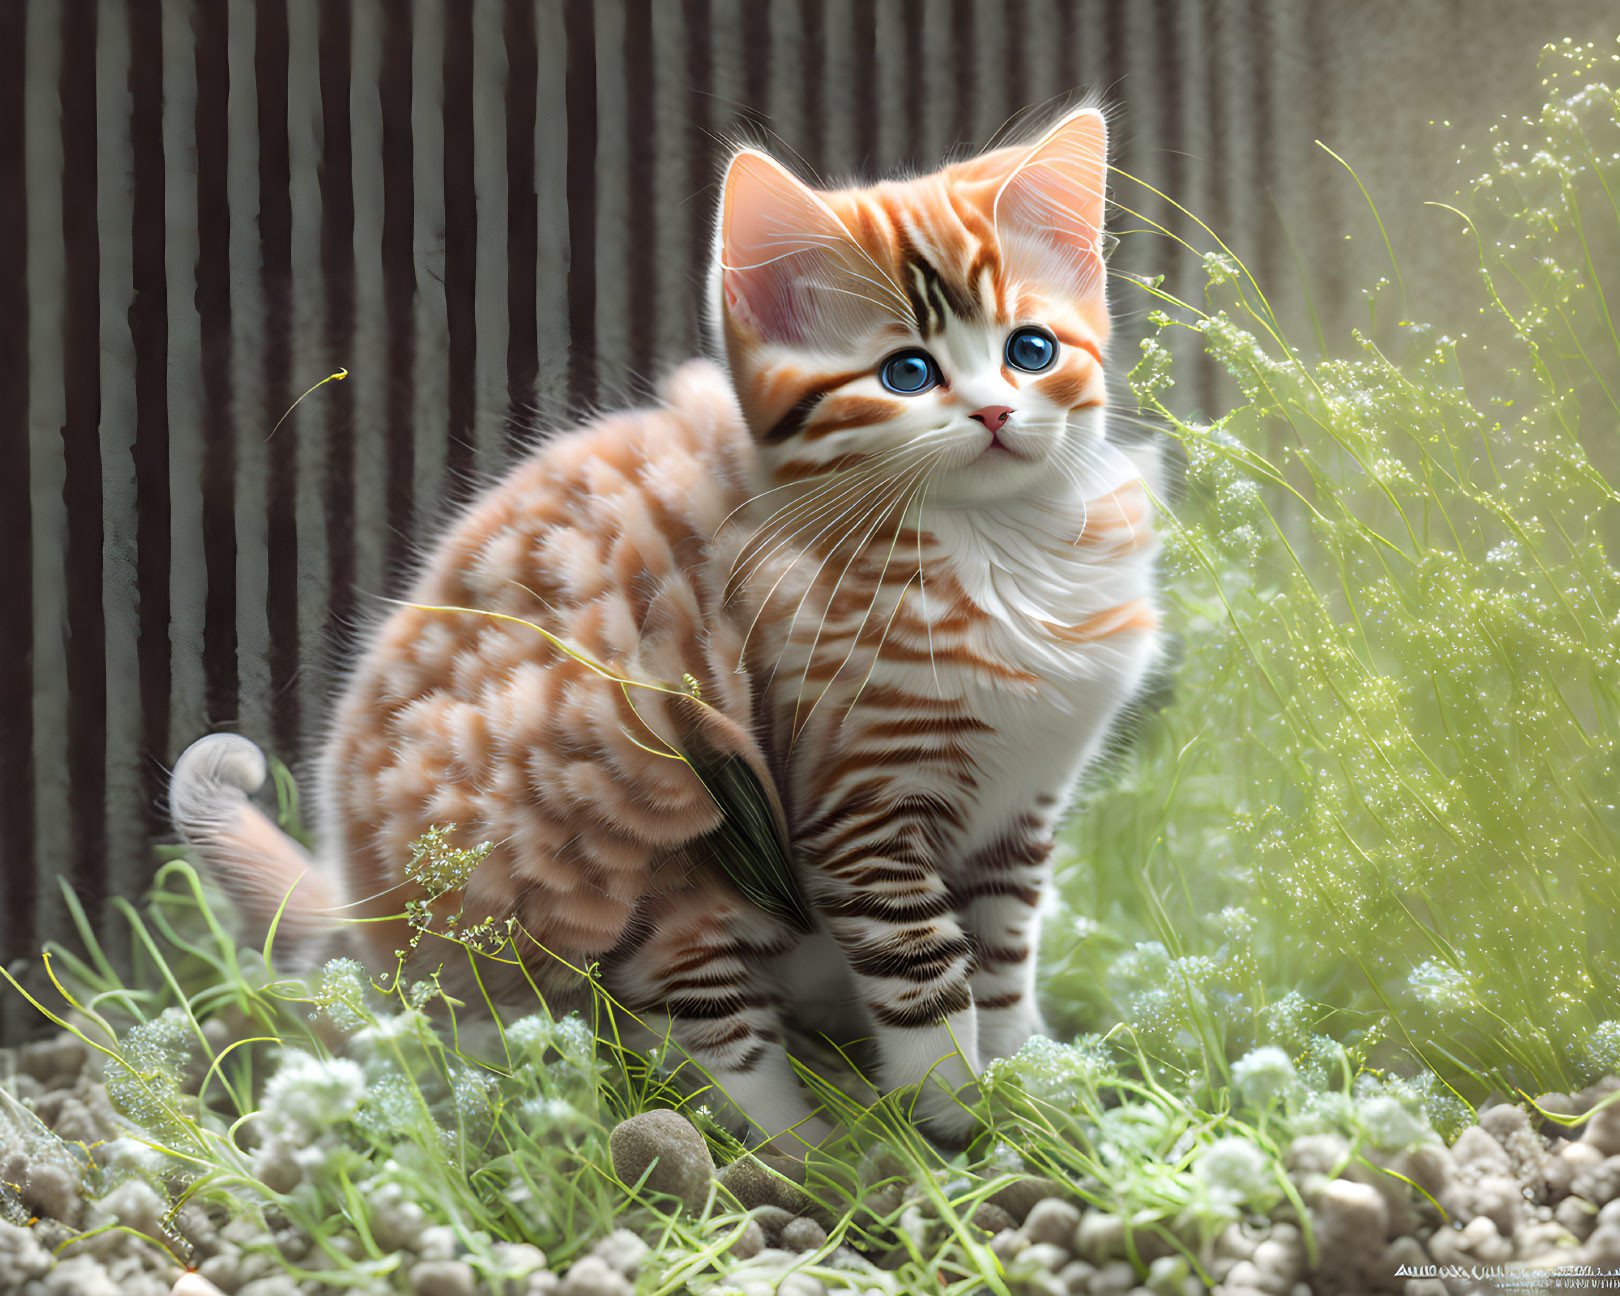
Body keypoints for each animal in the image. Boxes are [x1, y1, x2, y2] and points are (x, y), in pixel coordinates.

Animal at [174, 108, 1166, 1146]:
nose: (996, 411)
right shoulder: (857, 806)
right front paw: (957, 1118)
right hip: (634, 813)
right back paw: (815, 1155)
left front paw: (1033, 1087)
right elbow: (924, 977)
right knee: (700, 1023)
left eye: (1032, 351)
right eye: (907, 372)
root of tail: (370, 904)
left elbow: (1004, 962)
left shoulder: (1021, 813)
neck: (998, 548)